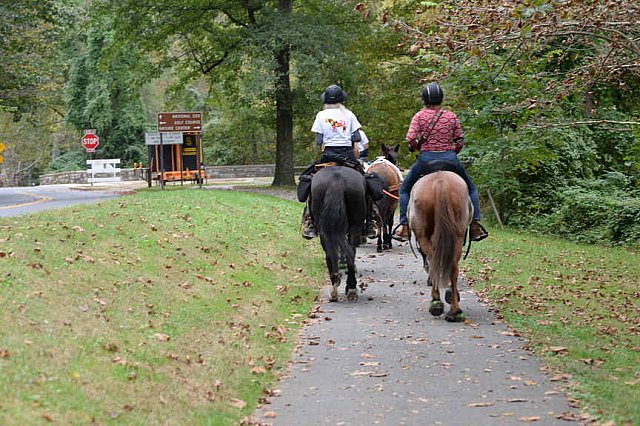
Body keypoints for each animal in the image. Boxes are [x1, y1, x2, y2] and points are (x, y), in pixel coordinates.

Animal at [310, 165, 364, 302]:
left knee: (330, 252)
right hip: (355, 226)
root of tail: (337, 179)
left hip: (324, 227)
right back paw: (351, 288)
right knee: (350, 252)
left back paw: (335, 284)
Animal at [408, 170, 472, 322]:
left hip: (424, 236)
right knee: (453, 267)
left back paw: (436, 303)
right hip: (458, 236)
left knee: (433, 261)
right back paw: (454, 311)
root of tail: (440, 182)